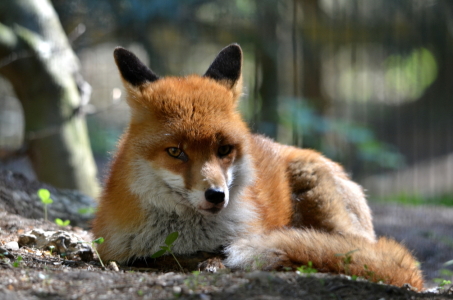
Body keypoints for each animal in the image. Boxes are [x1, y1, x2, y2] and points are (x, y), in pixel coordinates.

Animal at [92, 43, 424, 290]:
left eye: (224, 149)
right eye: (175, 151)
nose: (216, 195)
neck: (191, 235)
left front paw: (213, 263)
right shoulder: (120, 251)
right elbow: (153, 258)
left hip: (319, 196)